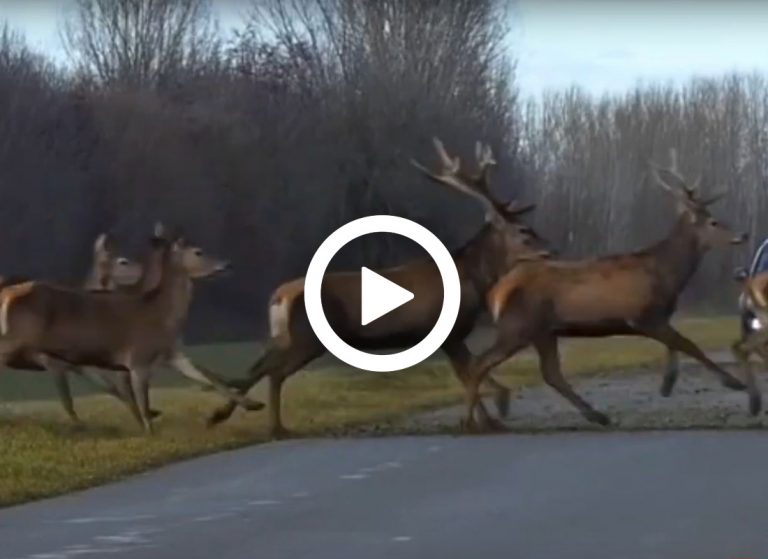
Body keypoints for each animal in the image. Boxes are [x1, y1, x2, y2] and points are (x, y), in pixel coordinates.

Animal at [0, 228, 264, 434]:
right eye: (198, 251)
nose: (227, 264)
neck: (159, 316)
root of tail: (7, 294)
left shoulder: (170, 354)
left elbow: (205, 376)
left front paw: (252, 405)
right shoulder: (137, 360)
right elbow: (142, 406)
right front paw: (151, 434)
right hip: (19, 342)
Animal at [207, 137, 548, 438]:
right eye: (523, 231)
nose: (549, 251)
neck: (472, 278)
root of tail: (279, 296)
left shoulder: (451, 337)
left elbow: (470, 373)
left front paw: (489, 419)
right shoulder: (448, 333)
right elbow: (468, 374)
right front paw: (489, 418)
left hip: (284, 336)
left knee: (257, 366)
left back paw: (223, 415)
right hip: (306, 338)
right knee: (273, 372)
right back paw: (275, 428)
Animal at [462, 148, 752, 428]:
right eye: (713, 221)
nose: (743, 235)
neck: (667, 273)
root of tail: (498, 291)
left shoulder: (659, 317)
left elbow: (676, 346)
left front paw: (668, 384)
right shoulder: (643, 316)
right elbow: (689, 345)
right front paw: (735, 382)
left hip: (544, 331)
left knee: (550, 373)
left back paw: (597, 415)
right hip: (518, 326)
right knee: (479, 364)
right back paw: (474, 421)